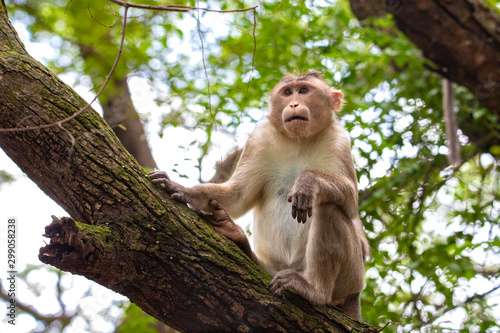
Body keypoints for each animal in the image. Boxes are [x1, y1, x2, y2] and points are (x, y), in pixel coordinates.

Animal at [148, 70, 368, 320]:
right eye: (287, 92)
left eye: (304, 91)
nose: (293, 103)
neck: (299, 141)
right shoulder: (258, 139)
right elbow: (237, 195)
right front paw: (183, 190)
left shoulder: (340, 140)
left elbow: (350, 202)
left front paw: (307, 182)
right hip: (273, 270)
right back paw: (235, 236)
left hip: (352, 277)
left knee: (329, 208)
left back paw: (314, 291)